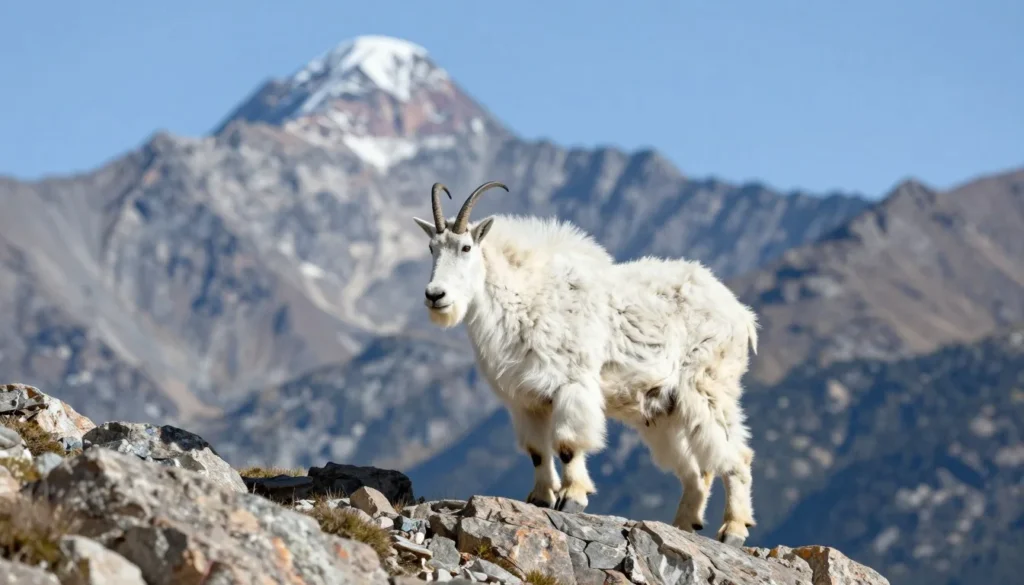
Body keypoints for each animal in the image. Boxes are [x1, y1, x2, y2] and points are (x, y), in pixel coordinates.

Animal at [412, 181, 759, 546]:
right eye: (432, 247)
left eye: (466, 247)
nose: (435, 295)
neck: (523, 295)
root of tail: (741, 315)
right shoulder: (526, 399)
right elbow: (536, 450)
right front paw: (539, 499)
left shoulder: (571, 384)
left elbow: (567, 443)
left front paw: (572, 498)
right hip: (664, 410)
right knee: (697, 469)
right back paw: (683, 525)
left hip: (709, 387)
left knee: (736, 456)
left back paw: (733, 529)